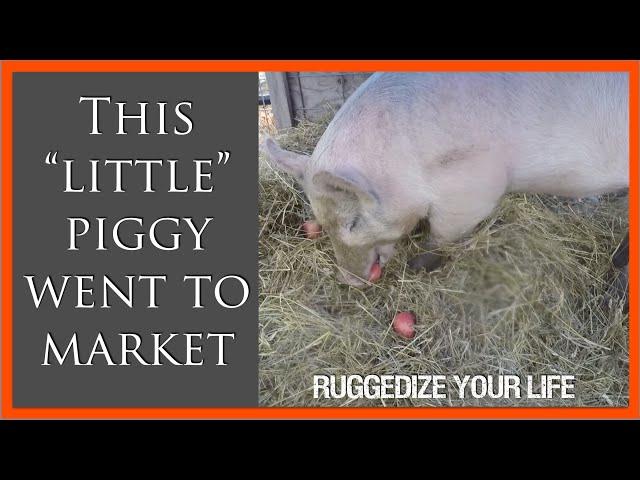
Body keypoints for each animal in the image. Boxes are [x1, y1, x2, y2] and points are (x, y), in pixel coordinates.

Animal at [262, 72, 628, 284]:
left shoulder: (473, 189)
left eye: (352, 223)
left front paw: (417, 264)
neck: (404, 160)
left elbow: (441, 235)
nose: (351, 281)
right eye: (321, 222)